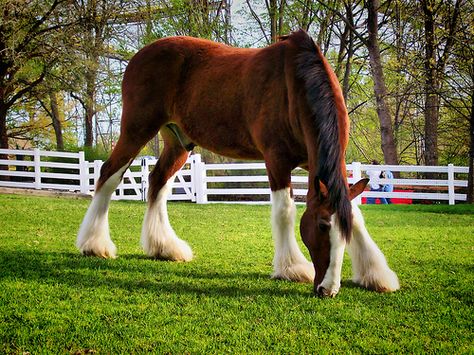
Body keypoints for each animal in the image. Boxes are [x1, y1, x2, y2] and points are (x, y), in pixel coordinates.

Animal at [76, 30, 398, 298]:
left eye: (343, 233)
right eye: (320, 226)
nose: (327, 290)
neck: (295, 86)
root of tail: (139, 55)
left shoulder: (314, 163)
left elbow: (355, 213)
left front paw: (376, 275)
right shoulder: (277, 160)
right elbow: (285, 211)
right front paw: (292, 268)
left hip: (178, 141)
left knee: (158, 182)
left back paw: (164, 248)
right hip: (136, 128)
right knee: (109, 175)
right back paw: (95, 244)